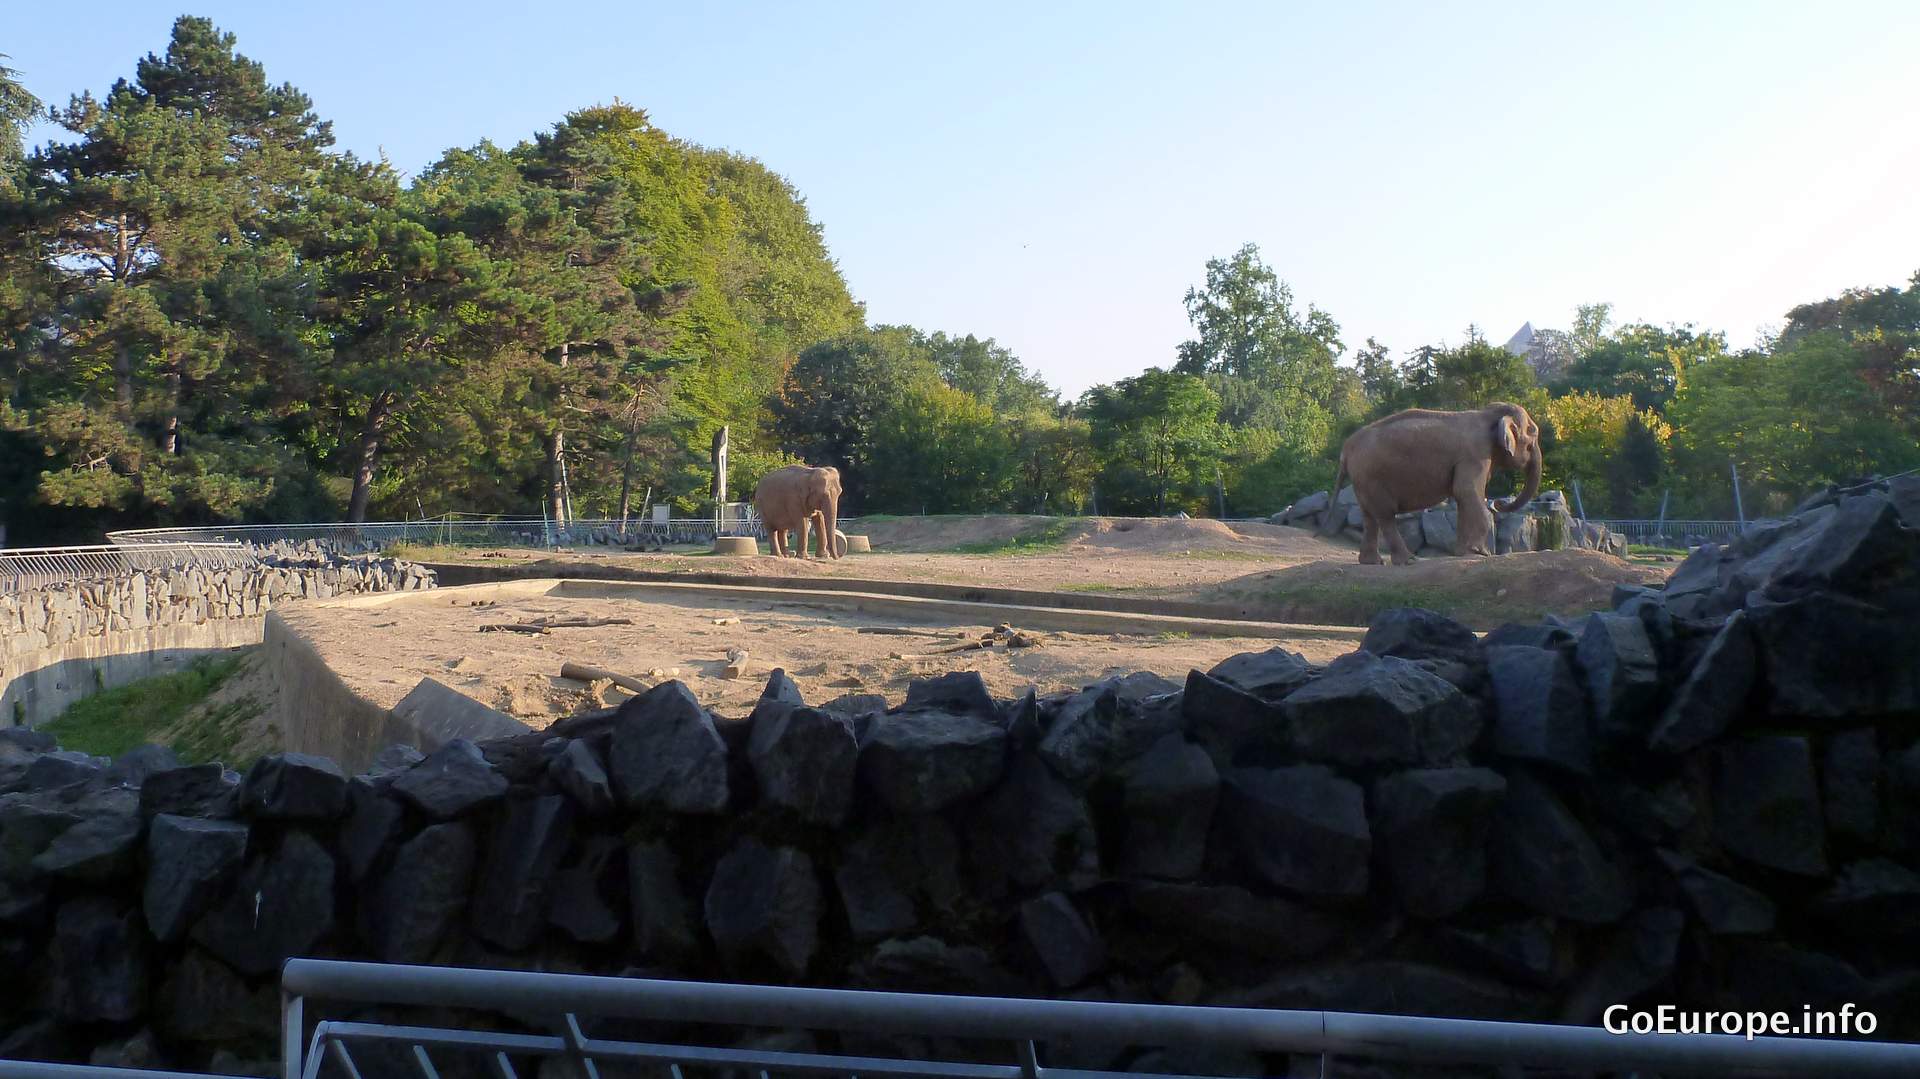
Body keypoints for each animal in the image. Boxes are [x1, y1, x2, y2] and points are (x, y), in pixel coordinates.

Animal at [1320, 395, 1543, 564]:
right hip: (1372, 477)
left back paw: (1373, 562)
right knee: (1385, 515)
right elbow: (1466, 491)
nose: (1497, 503)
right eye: (1532, 437)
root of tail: (1346, 450)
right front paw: (1481, 553)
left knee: (1369, 516)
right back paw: (1408, 560)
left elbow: (1463, 497)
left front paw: (1463, 553)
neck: (1487, 415)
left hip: (1362, 479)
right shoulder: (1475, 455)